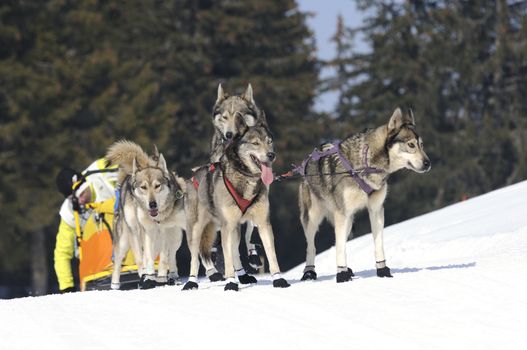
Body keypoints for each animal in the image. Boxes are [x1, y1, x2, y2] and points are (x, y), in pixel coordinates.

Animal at [106, 139, 187, 290]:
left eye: (157, 186)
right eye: (143, 187)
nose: (152, 204)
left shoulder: (165, 232)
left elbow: (163, 259)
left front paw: (160, 278)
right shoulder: (143, 232)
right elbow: (143, 259)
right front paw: (146, 278)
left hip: (176, 238)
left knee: (171, 255)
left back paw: (172, 277)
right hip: (125, 240)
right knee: (121, 261)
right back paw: (116, 285)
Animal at [182, 124, 288, 292]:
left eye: (269, 142)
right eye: (255, 143)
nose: (271, 155)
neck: (247, 178)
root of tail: (193, 177)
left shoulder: (263, 223)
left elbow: (271, 253)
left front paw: (278, 279)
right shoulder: (227, 226)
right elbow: (226, 259)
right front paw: (231, 282)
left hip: (234, 229)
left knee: (234, 251)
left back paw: (243, 276)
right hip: (196, 229)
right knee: (195, 257)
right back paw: (191, 282)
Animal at [300, 108, 432, 284]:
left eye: (422, 145)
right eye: (411, 145)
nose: (428, 163)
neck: (366, 164)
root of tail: (305, 163)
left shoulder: (376, 210)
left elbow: (378, 244)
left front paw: (383, 270)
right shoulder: (342, 214)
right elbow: (339, 248)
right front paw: (341, 275)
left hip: (349, 221)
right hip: (313, 219)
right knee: (312, 247)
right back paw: (309, 273)